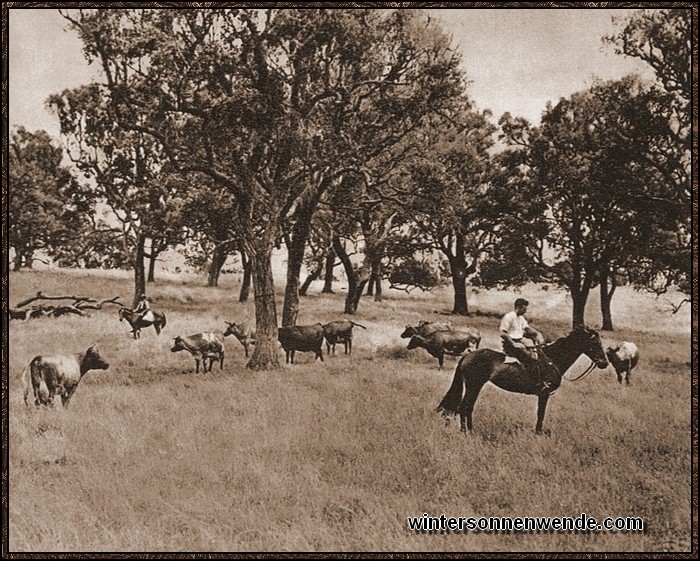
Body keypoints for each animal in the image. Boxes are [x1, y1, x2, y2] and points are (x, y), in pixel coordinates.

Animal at [438, 324, 608, 434]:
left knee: (467, 407)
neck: (553, 360)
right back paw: (467, 432)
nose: (604, 363)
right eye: (594, 342)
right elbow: (540, 414)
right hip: (474, 385)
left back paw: (469, 430)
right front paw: (538, 434)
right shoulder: (544, 394)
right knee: (465, 407)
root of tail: (467, 355)